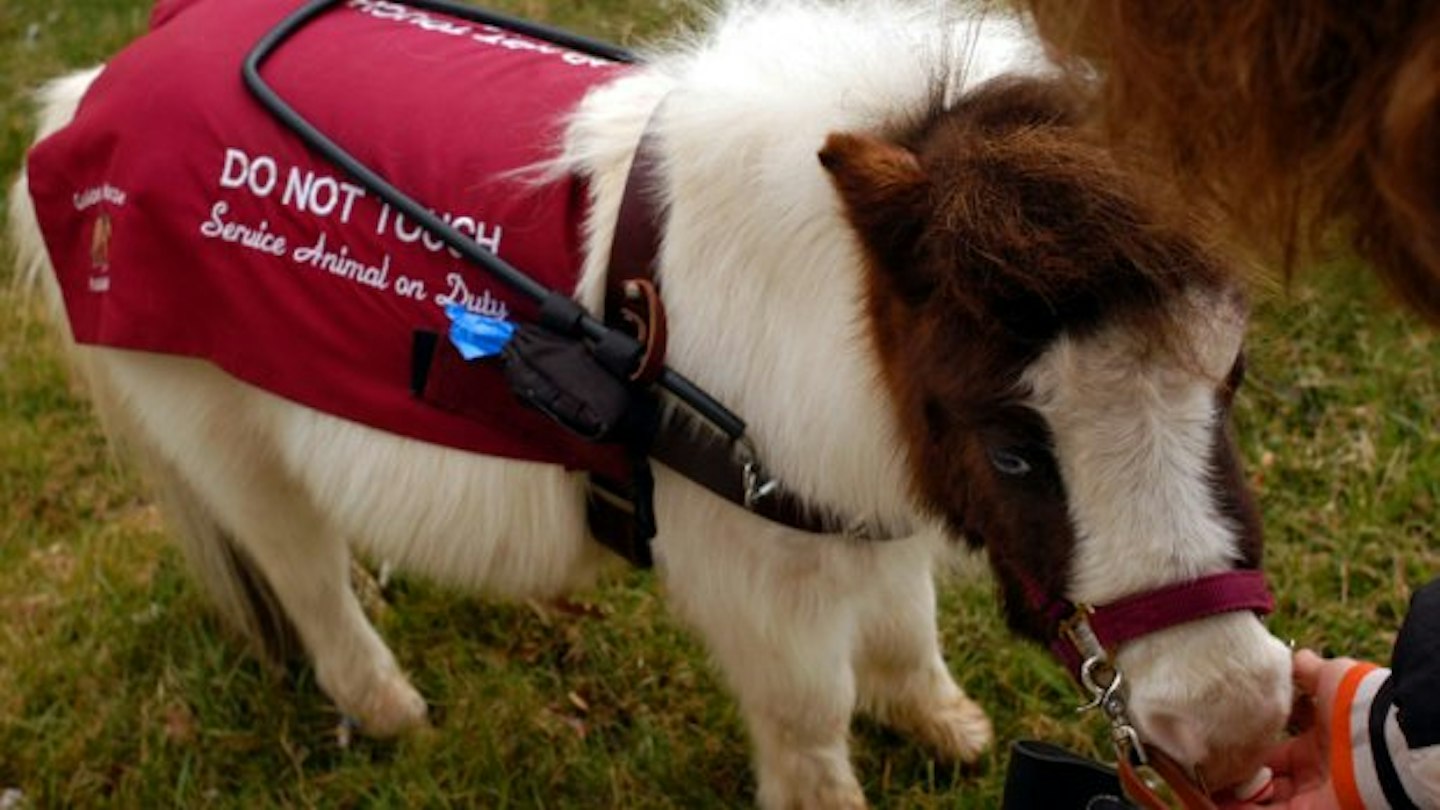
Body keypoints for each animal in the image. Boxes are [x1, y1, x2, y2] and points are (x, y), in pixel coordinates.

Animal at [9, 0, 1293, 805]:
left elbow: (903, 623)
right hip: (224, 434)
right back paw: (388, 709)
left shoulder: (854, 492)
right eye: (1015, 448)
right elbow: (809, 716)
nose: (1233, 722)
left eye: (1229, 376)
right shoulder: (761, 573)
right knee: (301, 574)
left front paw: (942, 725)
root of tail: (86, 97)